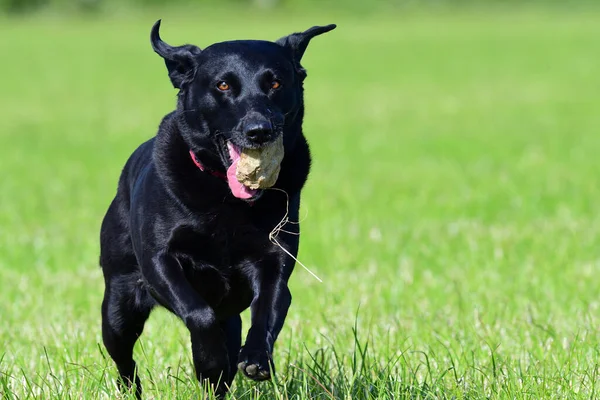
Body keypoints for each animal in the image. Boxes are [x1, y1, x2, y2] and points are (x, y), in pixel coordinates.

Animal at [97, 19, 332, 396]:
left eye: (276, 83)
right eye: (223, 84)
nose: (259, 130)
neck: (225, 196)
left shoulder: (275, 262)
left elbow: (268, 308)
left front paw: (255, 358)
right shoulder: (159, 262)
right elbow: (198, 313)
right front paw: (210, 361)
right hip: (119, 306)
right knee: (124, 359)